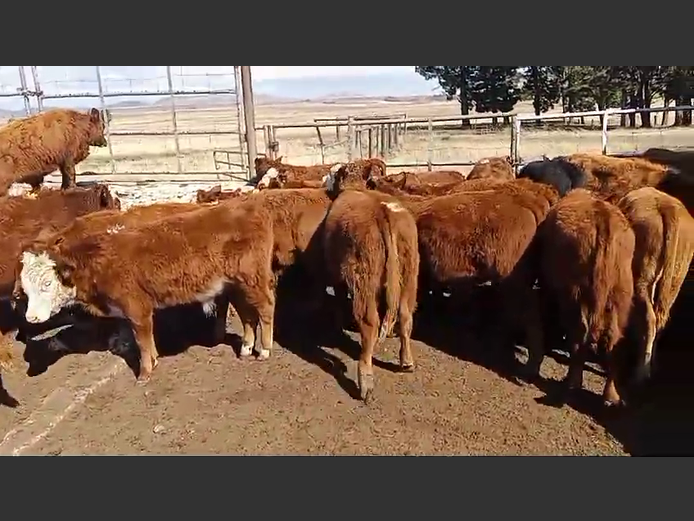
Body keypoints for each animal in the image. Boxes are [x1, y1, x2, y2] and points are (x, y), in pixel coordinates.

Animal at [536, 188, 640, 406]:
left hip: (574, 295)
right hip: (621, 295)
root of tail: (603, 219)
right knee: (613, 340)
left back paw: (572, 382)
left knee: (580, 333)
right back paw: (611, 395)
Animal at [620, 187, 694, 382]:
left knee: (650, 318)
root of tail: (669, 207)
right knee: (660, 318)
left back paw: (641, 371)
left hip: (642, 278)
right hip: (674, 281)